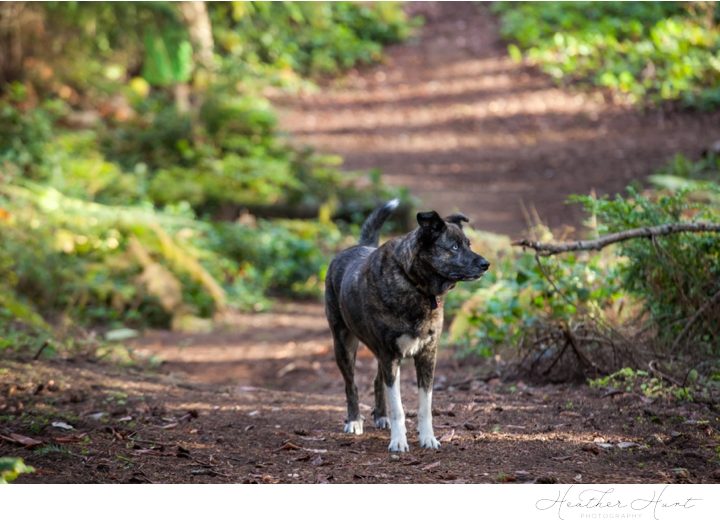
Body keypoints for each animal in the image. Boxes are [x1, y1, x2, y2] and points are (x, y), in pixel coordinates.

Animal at [324, 199, 490, 450]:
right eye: (453, 247)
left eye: (468, 244)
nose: (486, 264)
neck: (416, 286)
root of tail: (359, 246)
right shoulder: (390, 355)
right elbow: (398, 408)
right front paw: (399, 442)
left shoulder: (427, 355)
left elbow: (425, 407)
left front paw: (428, 438)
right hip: (344, 345)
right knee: (351, 385)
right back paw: (354, 421)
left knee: (377, 381)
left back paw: (381, 416)